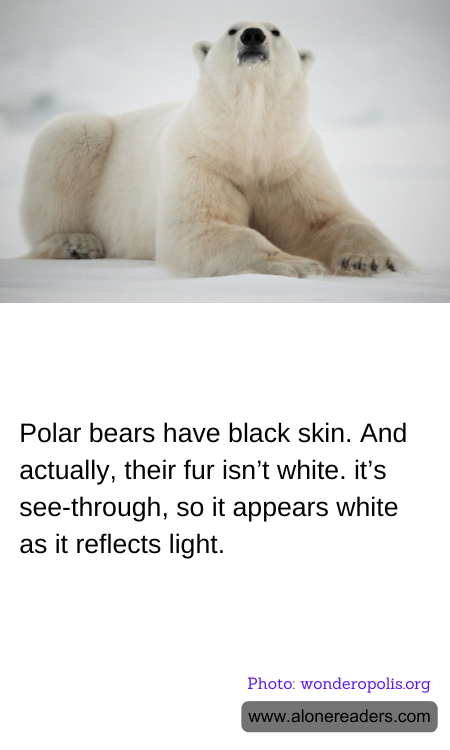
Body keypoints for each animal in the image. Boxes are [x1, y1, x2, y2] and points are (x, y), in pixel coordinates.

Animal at [21, 21, 412, 278]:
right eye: (231, 29)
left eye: (276, 30)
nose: (252, 35)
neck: (248, 141)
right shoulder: (201, 158)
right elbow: (199, 227)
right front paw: (294, 262)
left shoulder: (292, 163)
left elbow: (327, 219)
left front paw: (371, 259)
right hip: (87, 138)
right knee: (71, 138)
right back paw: (75, 243)